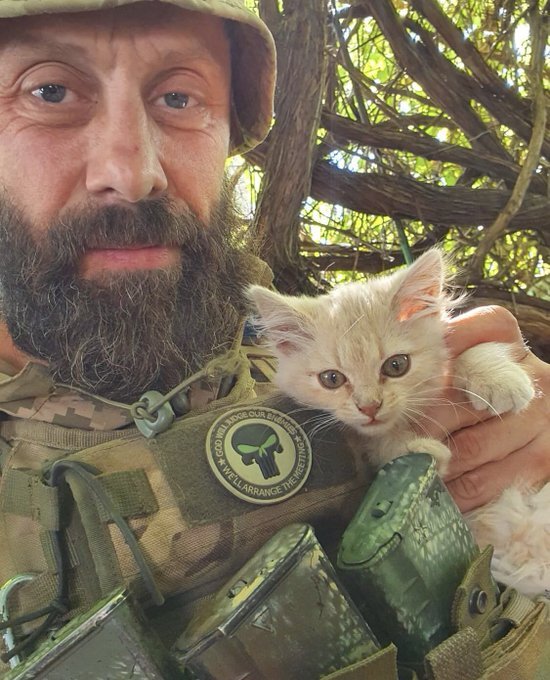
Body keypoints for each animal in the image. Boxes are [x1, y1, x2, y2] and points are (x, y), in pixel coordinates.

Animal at [251, 248, 550, 596]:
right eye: (331, 379)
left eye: (396, 365)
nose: (369, 406)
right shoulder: (363, 440)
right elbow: (382, 444)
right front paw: (419, 451)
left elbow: (472, 349)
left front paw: (501, 380)